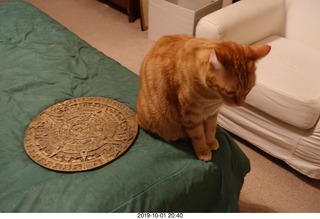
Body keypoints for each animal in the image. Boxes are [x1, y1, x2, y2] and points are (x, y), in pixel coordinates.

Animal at [135, 34, 270, 161]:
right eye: (230, 92)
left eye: (248, 89)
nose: (241, 104)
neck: (212, 97)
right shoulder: (191, 116)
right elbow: (199, 136)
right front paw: (203, 150)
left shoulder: (212, 114)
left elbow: (211, 130)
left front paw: (210, 142)